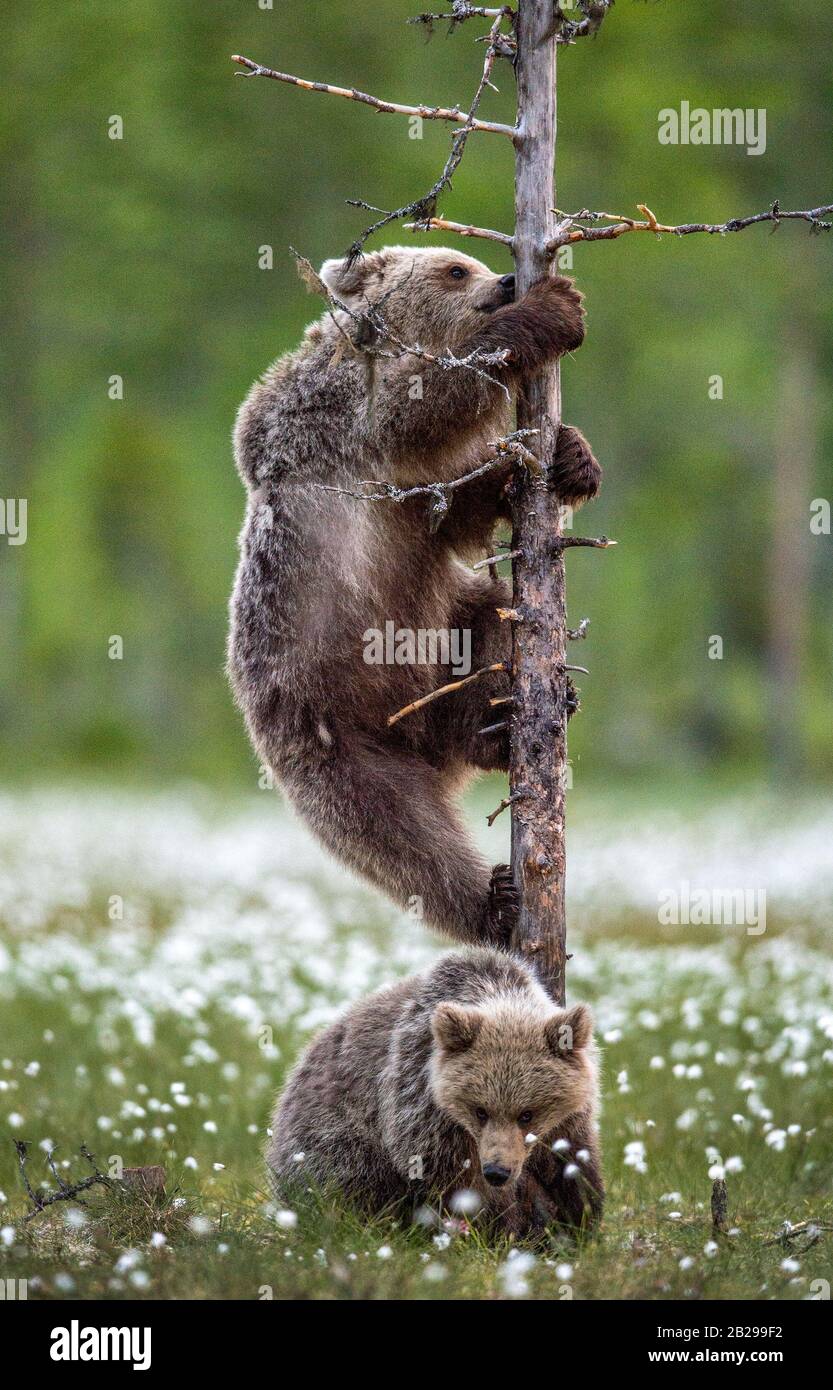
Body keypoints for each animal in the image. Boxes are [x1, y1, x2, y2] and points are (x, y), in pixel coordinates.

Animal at [228, 246, 601, 947]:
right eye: (454, 268)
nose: (507, 280)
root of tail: (420, 740)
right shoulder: (340, 423)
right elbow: (419, 409)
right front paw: (553, 309)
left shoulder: (409, 507)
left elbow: (457, 505)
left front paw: (571, 457)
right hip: (329, 733)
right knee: (397, 833)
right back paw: (491, 901)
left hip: (436, 642)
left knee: (489, 622)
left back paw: (510, 721)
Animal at [267, 947, 603, 1240]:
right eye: (480, 1110)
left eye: (527, 1114)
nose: (497, 1171)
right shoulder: (421, 1102)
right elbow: (449, 1180)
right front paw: (498, 1228)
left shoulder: (568, 1118)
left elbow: (570, 1162)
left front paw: (576, 1222)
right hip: (332, 1134)